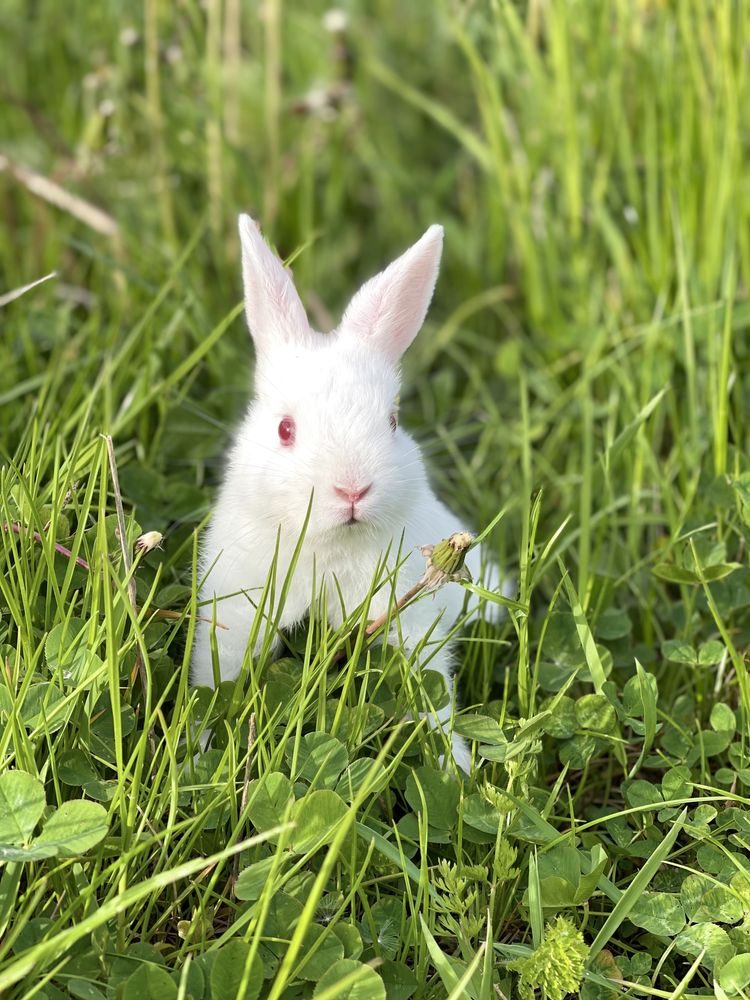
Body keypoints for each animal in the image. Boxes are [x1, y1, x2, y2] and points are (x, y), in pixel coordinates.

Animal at [192, 215, 506, 768]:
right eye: (285, 429)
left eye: (393, 421)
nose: (352, 489)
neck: (330, 547)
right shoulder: (234, 609)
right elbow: (215, 681)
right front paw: (196, 754)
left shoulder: (413, 622)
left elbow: (434, 697)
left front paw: (457, 768)